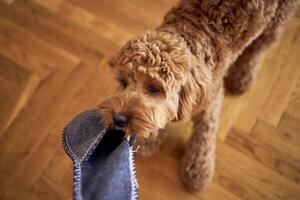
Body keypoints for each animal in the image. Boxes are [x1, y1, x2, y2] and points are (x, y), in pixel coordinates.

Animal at [97, 0, 298, 192]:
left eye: (154, 88)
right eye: (123, 82)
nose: (118, 119)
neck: (193, 32)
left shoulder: (211, 98)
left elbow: (204, 135)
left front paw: (198, 170)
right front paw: (151, 141)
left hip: (276, 21)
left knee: (258, 49)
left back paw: (242, 77)